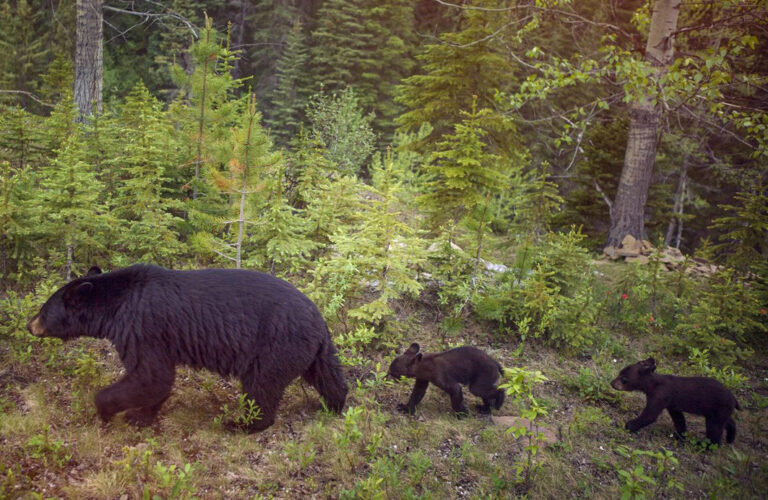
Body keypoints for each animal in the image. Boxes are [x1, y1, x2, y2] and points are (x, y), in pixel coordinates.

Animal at [28, 264, 348, 432]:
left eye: (43, 310)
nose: (29, 325)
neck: (115, 306)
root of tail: (319, 319)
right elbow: (157, 380)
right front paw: (142, 416)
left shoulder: (142, 326)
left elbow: (149, 376)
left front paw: (107, 410)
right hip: (312, 350)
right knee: (328, 376)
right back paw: (333, 405)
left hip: (275, 345)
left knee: (261, 387)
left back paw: (241, 423)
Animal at [608, 358, 740, 444]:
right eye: (619, 373)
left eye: (624, 379)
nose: (612, 383)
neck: (652, 385)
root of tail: (734, 399)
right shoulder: (672, 404)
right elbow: (679, 419)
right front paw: (680, 436)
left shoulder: (660, 395)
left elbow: (650, 415)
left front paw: (627, 425)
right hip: (717, 411)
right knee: (727, 422)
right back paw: (730, 438)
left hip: (718, 409)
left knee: (714, 429)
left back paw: (704, 446)